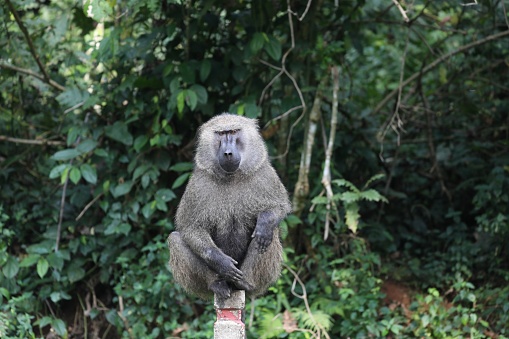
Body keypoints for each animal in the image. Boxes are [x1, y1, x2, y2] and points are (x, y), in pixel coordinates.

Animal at [167, 114, 290, 300]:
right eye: (220, 133)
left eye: (233, 131)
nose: (227, 153)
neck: (232, 177)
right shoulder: (197, 184)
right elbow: (190, 228)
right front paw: (222, 263)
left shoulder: (265, 174)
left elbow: (281, 206)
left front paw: (265, 222)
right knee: (174, 239)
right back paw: (216, 284)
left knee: (270, 233)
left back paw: (245, 282)